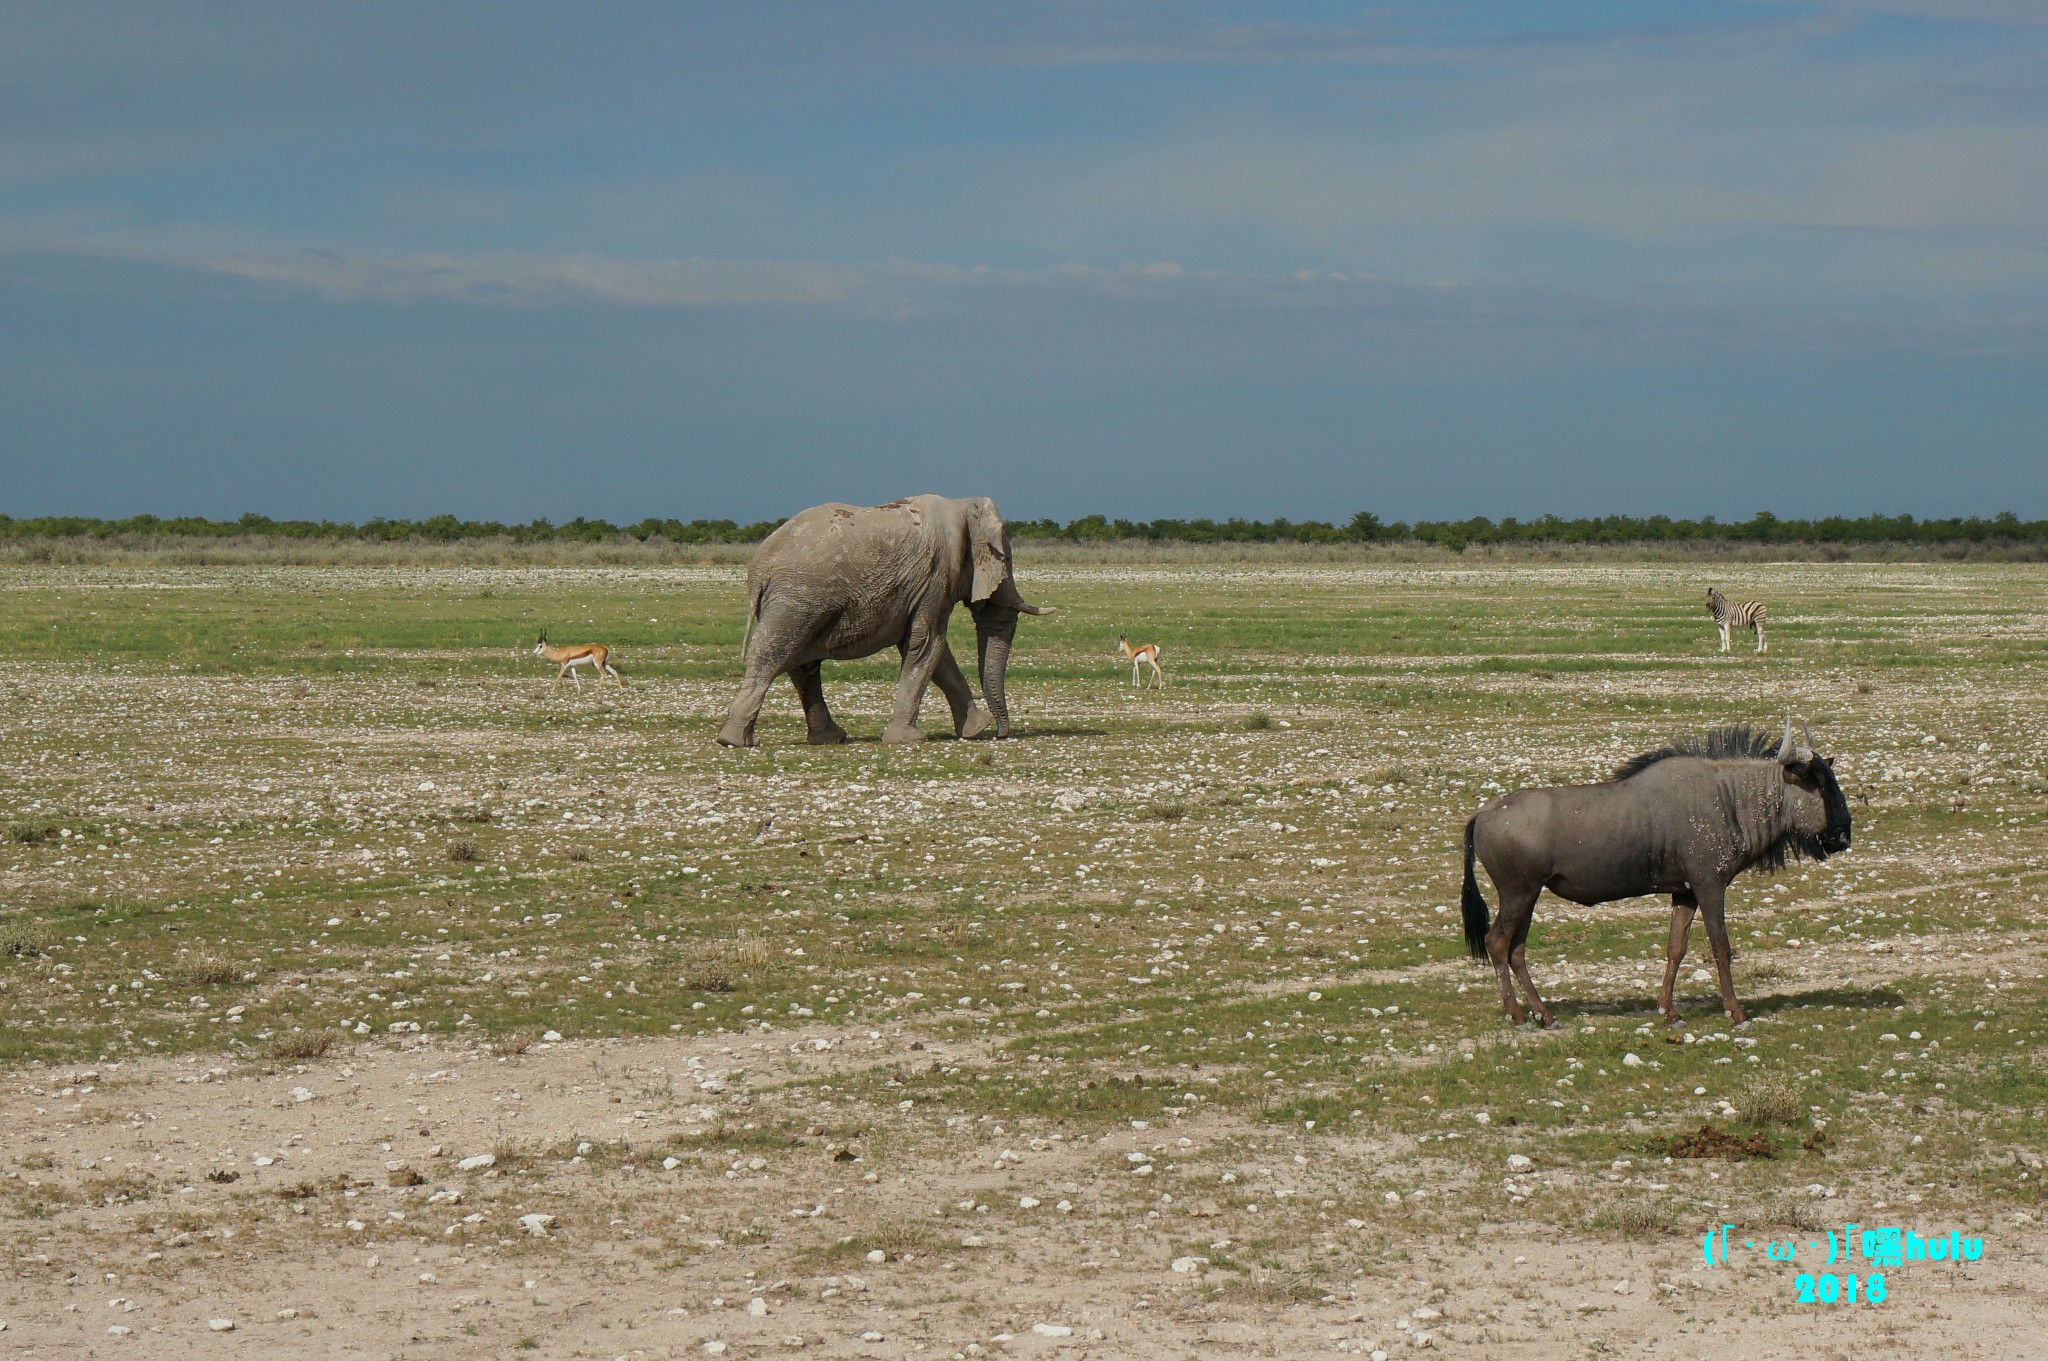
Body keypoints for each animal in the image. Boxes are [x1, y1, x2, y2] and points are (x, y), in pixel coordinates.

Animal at [712, 491, 1056, 749]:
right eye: (1004, 559)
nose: (1001, 734)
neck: (963, 505)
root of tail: (759, 570)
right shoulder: (937, 576)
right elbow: (927, 643)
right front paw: (909, 739)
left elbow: (932, 651)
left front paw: (975, 730)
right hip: (797, 600)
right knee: (773, 658)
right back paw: (736, 741)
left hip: (795, 603)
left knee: (801, 665)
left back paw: (824, 739)